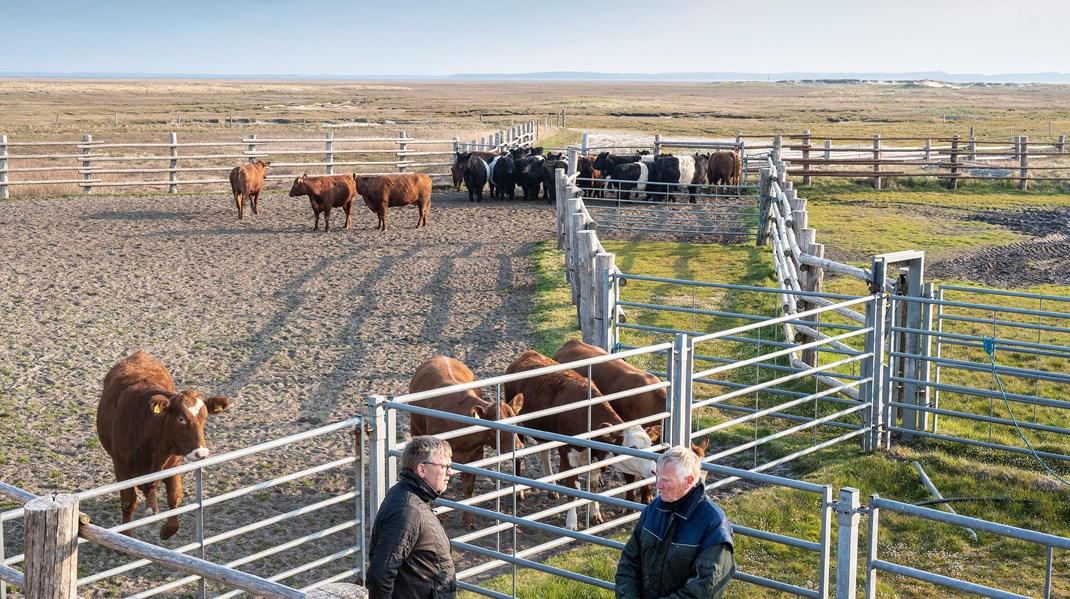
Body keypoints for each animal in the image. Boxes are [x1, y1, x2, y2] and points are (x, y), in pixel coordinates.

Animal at [95, 348, 230, 541]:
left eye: (204, 418)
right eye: (181, 418)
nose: (201, 453)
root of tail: (139, 354)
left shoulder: (173, 464)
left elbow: (175, 498)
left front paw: (166, 531)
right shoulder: (121, 467)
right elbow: (128, 502)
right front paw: (126, 535)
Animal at [406, 355, 524, 528]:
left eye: (516, 422)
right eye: (498, 428)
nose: (519, 448)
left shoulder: (475, 456)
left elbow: (468, 487)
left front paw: (470, 521)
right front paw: (441, 516)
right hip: (415, 428)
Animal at [502, 348, 659, 530]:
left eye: (650, 443)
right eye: (632, 447)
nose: (654, 470)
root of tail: (527, 354)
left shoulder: (596, 460)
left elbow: (593, 487)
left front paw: (595, 514)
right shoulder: (568, 457)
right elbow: (573, 490)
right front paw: (571, 523)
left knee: (544, 453)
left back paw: (552, 490)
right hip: (516, 425)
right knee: (518, 459)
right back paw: (519, 491)